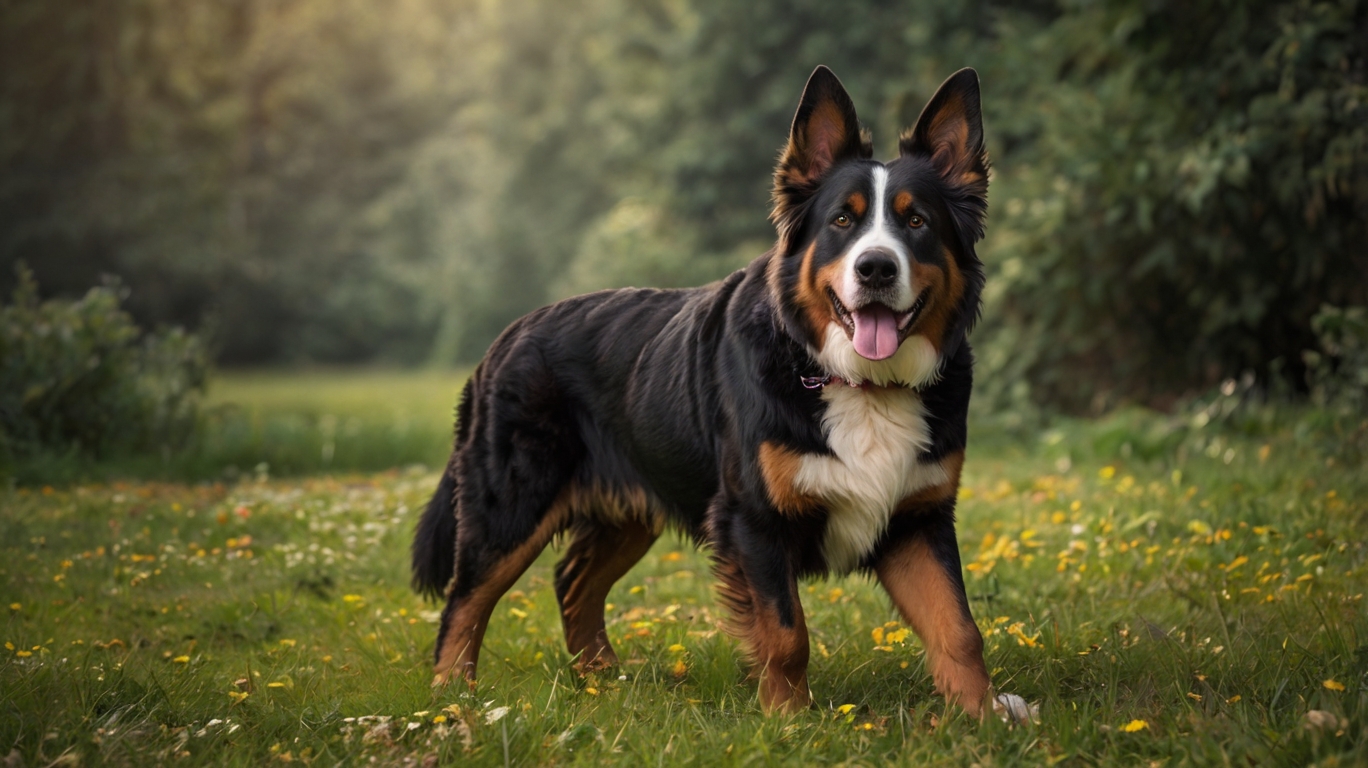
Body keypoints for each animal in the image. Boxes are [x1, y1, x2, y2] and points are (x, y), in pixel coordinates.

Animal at [410, 65, 1012, 717]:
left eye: (917, 221)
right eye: (842, 222)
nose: (876, 267)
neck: (856, 379)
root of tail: (506, 337)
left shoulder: (918, 518)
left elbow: (959, 629)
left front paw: (985, 717)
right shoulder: (754, 520)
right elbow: (787, 634)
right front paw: (789, 720)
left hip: (631, 508)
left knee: (573, 580)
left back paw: (603, 680)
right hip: (513, 504)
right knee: (465, 600)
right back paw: (451, 698)